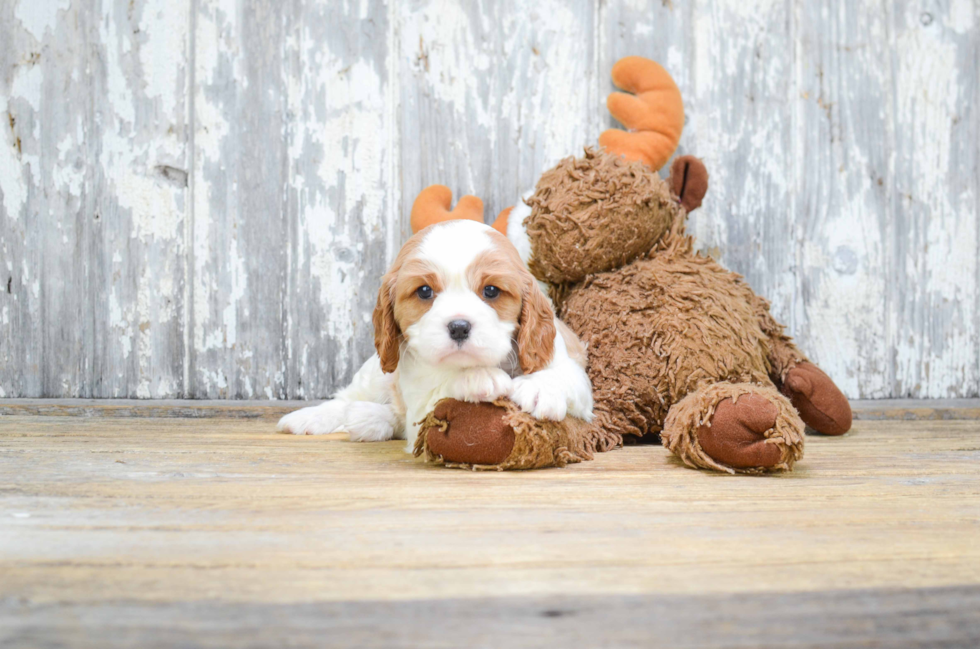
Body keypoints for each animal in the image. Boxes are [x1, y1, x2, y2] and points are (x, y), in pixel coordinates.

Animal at [280, 219, 592, 450]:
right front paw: (478, 377)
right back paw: (310, 417)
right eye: (424, 291)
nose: (459, 326)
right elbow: (441, 387)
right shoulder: (419, 401)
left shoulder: (573, 373)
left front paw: (541, 388)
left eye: (491, 290)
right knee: (348, 398)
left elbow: (566, 376)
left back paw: (369, 419)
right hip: (374, 375)